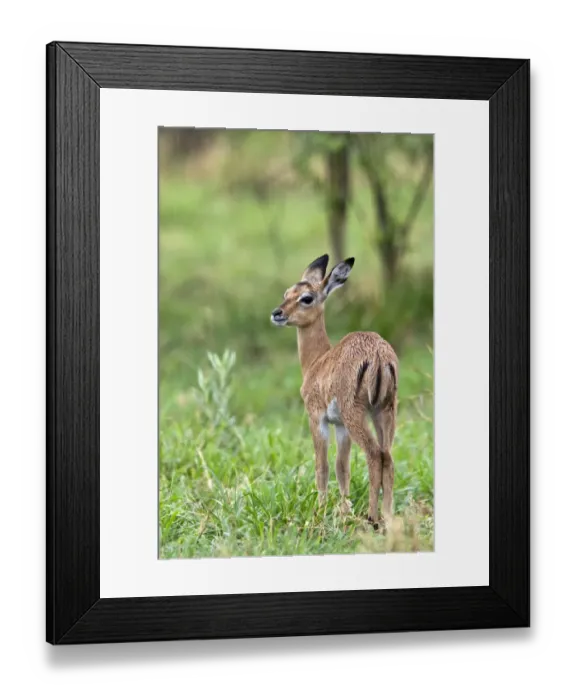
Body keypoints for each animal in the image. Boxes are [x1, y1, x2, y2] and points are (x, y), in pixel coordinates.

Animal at [270, 254, 399, 528]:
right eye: (287, 293)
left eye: (306, 298)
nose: (277, 313)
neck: (317, 363)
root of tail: (379, 355)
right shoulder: (340, 426)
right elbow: (343, 467)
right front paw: (344, 508)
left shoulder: (317, 419)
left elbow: (323, 466)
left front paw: (320, 510)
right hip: (384, 411)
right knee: (388, 456)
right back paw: (388, 516)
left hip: (357, 416)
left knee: (374, 455)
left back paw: (373, 517)